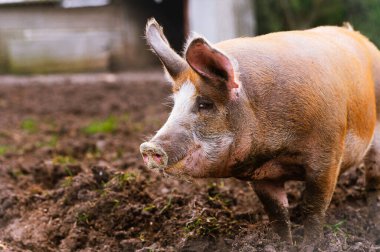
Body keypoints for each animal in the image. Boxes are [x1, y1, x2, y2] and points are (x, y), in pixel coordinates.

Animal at [140, 18, 380, 247]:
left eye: (204, 104)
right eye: (174, 104)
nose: (149, 147)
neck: (277, 151)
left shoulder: (327, 155)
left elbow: (313, 208)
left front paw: (309, 245)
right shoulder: (261, 175)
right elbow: (277, 213)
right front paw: (283, 244)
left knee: (373, 176)